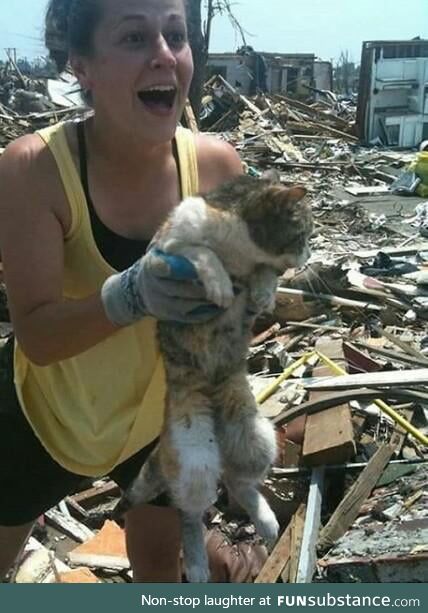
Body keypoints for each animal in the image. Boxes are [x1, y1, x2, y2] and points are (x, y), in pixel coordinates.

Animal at [115, 173, 312, 584]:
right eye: (303, 234)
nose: (309, 256)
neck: (240, 249)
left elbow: (265, 272)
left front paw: (263, 291)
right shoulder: (165, 250)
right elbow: (202, 253)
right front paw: (220, 283)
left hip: (255, 437)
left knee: (239, 481)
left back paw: (266, 522)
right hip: (193, 455)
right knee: (189, 512)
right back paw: (196, 563)